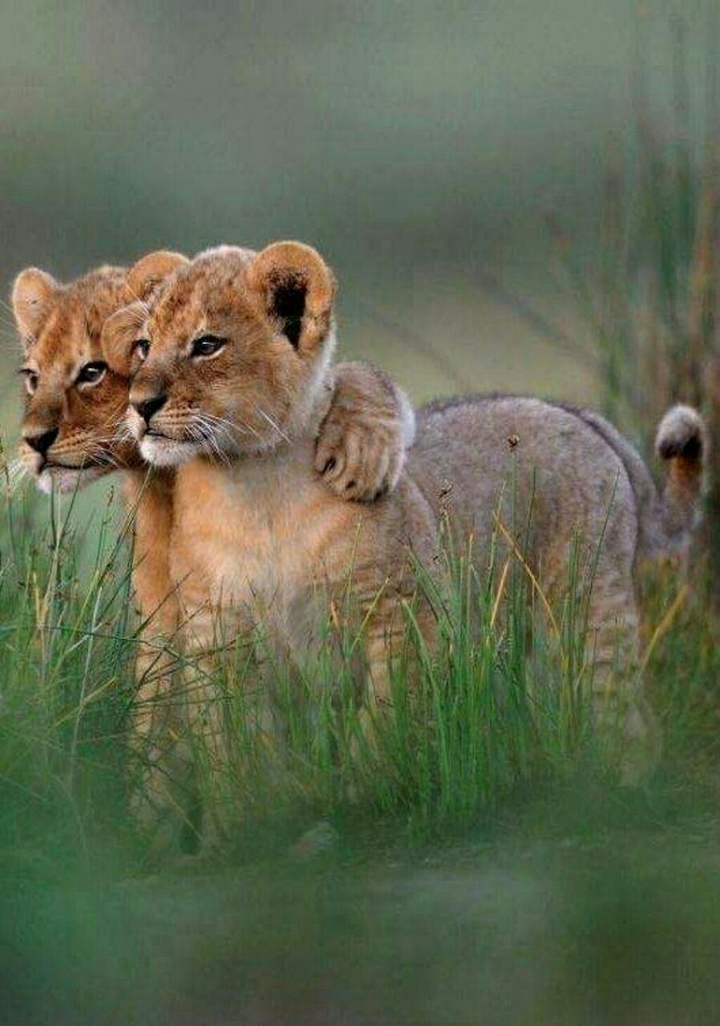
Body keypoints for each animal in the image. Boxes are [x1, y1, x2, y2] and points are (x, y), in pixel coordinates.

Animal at [114, 241, 704, 797]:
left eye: (206, 345)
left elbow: (384, 721)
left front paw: (365, 795)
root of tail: (580, 415)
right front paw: (245, 817)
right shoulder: (215, 636)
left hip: (585, 607)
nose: (139, 404)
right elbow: (228, 747)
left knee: (620, 712)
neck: (254, 490)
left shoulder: (399, 613)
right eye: (144, 345)